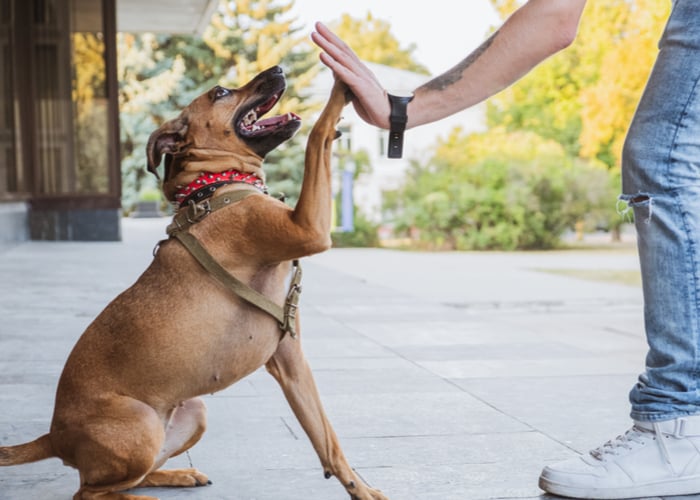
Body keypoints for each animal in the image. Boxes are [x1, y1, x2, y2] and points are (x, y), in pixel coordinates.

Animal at [0, 67, 388, 500]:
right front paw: (342, 84)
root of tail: (54, 436)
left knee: (131, 476)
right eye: (220, 92)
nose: (278, 70)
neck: (216, 185)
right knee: (89, 492)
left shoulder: (290, 358)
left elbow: (327, 439)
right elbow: (317, 134)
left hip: (193, 412)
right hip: (140, 425)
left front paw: (361, 489)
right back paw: (144, 497)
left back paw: (177, 475)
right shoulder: (310, 229)